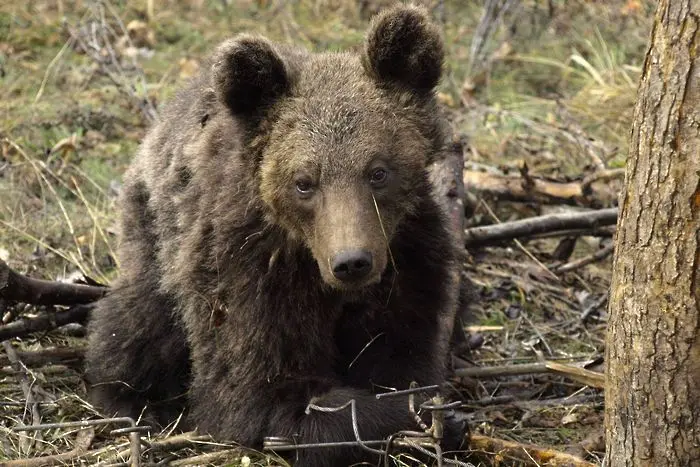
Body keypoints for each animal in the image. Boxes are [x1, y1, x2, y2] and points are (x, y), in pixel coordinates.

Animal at [87, 2, 468, 464]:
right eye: (304, 182)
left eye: (378, 171)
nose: (351, 262)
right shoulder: (247, 267)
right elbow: (261, 392)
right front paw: (424, 420)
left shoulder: (409, 256)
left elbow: (402, 352)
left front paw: (429, 410)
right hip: (156, 236)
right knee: (136, 321)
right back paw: (130, 399)